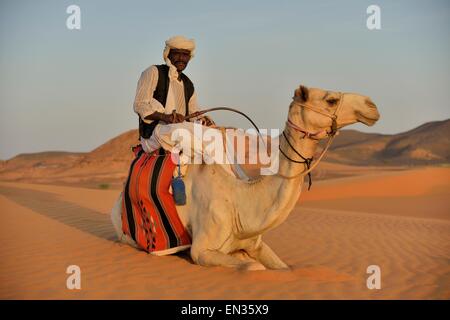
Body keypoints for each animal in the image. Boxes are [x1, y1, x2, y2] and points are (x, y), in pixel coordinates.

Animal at [110, 85, 380, 270]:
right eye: (330, 99)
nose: (372, 106)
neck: (238, 202)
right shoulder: (202, 250)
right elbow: (253, 267)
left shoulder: (256, 244)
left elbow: (283, 267)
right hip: (127, 235)